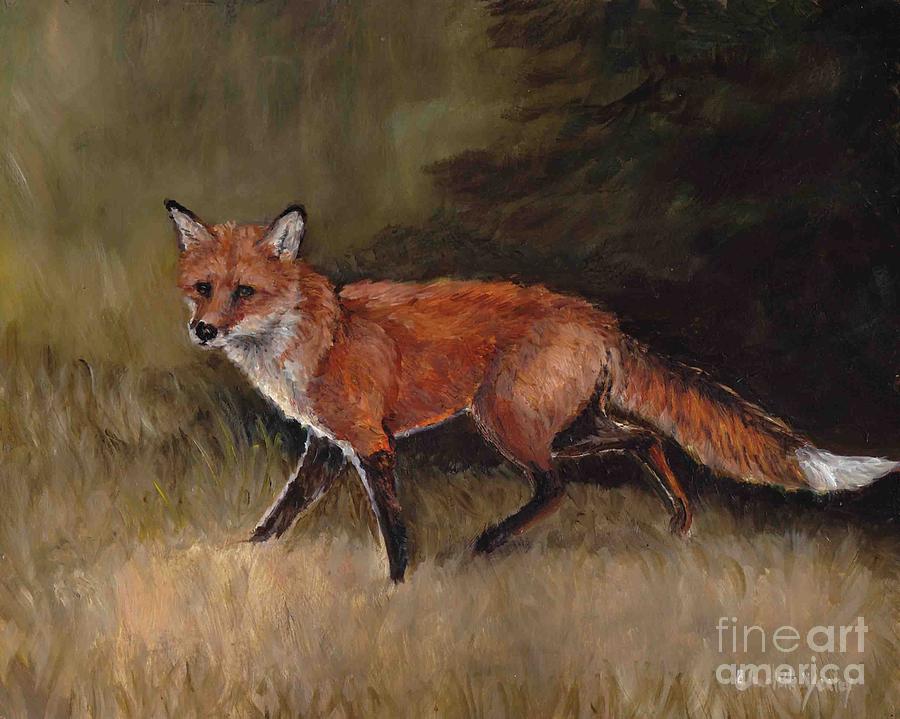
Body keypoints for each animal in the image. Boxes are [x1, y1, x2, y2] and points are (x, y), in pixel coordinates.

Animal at [167, 200, 899, 581]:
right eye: (203, 287)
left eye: (244, 292)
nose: (202, 330)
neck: (311, 334)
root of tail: (598, 317)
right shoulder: (326, 445)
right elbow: (279, 514)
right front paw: (238, 559)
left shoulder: (370, 443)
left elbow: (393, 528)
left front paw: (397, 588)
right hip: (564, 424)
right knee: (646, 439)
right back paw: (680, 521)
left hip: (506, 422)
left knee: (558, 485)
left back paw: (492, 541)